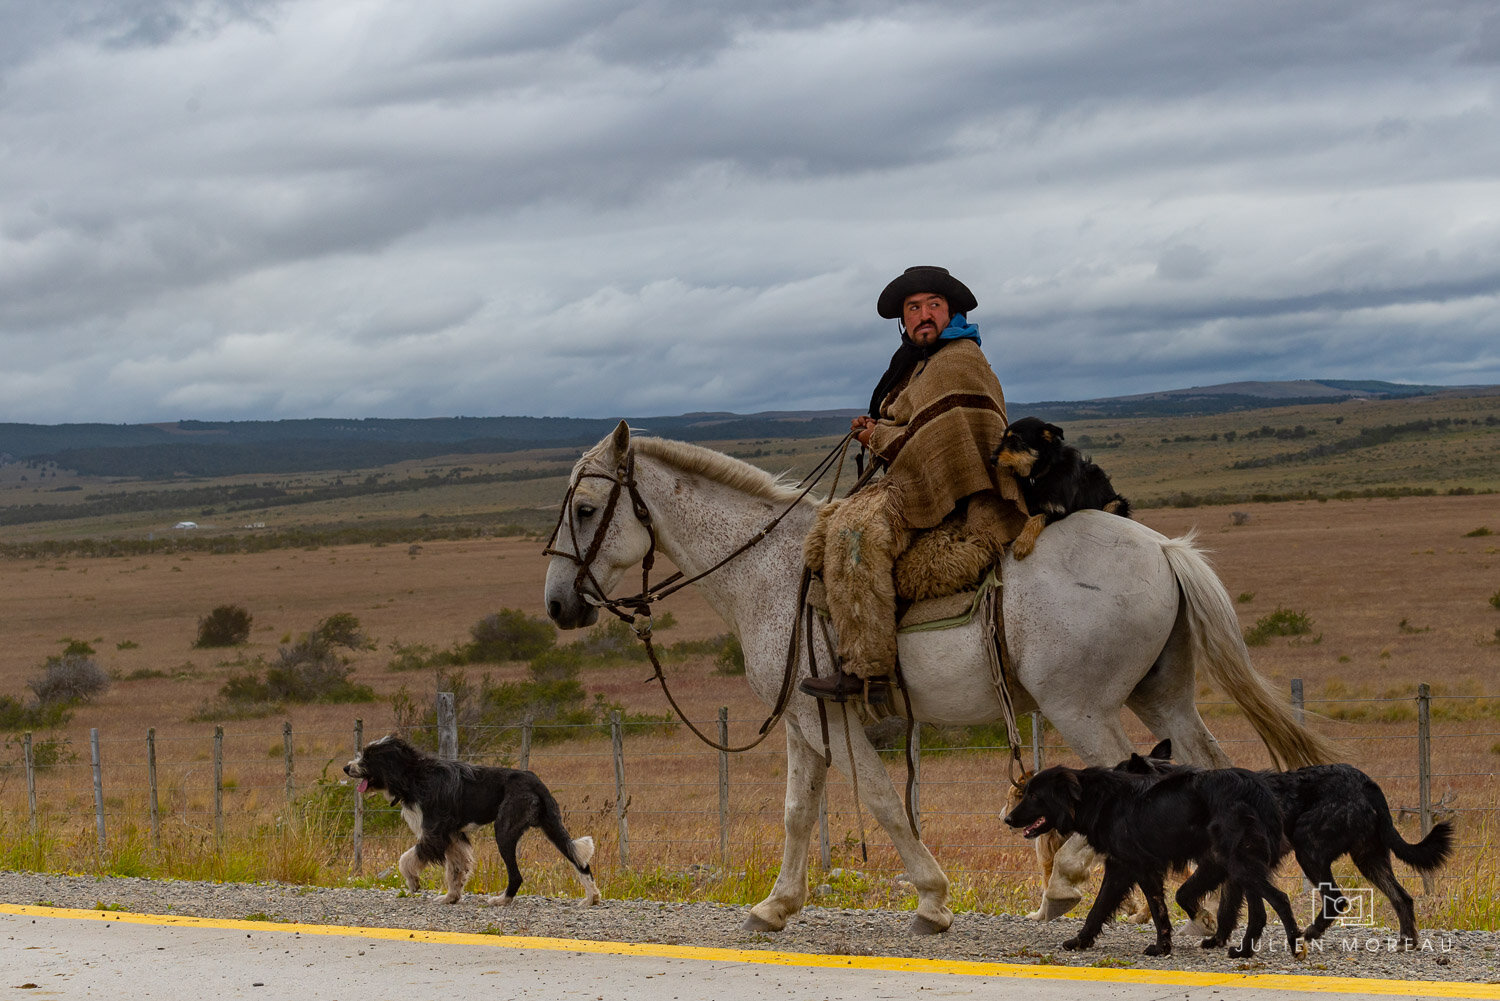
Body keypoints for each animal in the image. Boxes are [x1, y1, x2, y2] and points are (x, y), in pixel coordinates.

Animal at [345, 735, 603, 906]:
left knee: (516, 875)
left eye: (368, 757)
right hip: (552, 826)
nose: (346, 767)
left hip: (504, 831)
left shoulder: (433, 833)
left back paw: (502, 900)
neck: (413, 775)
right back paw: (591, 898)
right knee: (581, 862)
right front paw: (451, 896)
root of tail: (534, 780)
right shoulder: (453, 835)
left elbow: (406, 859)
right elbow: (456, 868)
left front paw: (413, 882)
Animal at [990, 414, 1128, 555]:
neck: (1045, 471)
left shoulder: (1058, 509)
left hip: (1115, 503)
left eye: (1015, 439)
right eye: (1002, 439)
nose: (991, 459)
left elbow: (1037, 517)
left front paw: (1023, 543)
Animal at [1002, 762, 1296, 960]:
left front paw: (1161, 946)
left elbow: (1156, 909)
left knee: (1280, 898)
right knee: (1258, 909)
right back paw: (1245, 950)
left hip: (1239, 861)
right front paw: (1081, 941)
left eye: (1034, 796)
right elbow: (1100, 908)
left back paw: (1293, 945)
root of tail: (1259, 789)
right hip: (1240, 862)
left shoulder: (1141, 867)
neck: (1097, 799)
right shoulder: (1122, 868)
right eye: (1025, 793)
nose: (1007, 820)